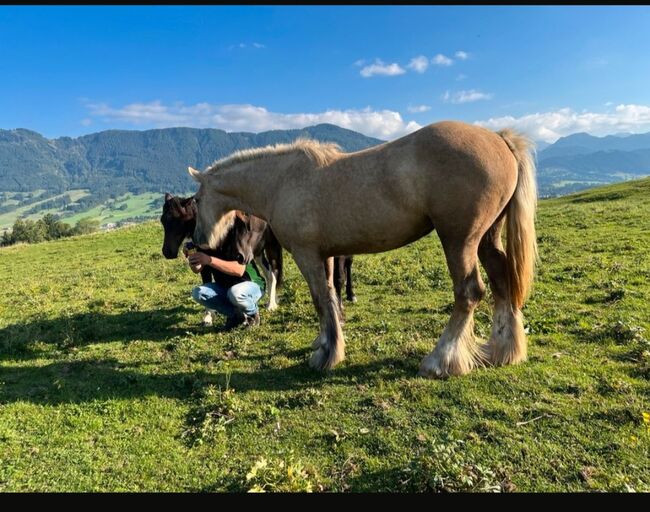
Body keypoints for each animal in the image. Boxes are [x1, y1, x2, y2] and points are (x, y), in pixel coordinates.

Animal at [189, 119, 536, 376]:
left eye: (197, 199)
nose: (199, 241)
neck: (283, 181)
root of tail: (499, 139)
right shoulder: (326, 255)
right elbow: (331, 297)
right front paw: (324, 343)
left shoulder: (307, 255)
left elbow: (321, 300)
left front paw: (327, 356)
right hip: (487, 238)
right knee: (501, 282)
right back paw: (502, 351)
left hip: (459, 240)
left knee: (469, 292)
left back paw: (439, 361)